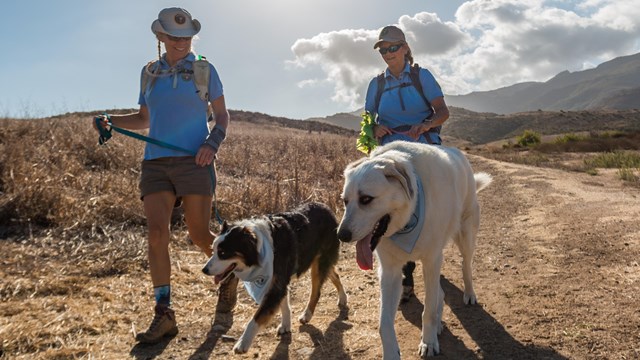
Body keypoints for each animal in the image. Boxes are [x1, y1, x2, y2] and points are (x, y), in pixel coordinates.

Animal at [202, 202, 348, 354]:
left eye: (223, 253)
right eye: (213, 250)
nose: (204, 270)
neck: (260, 247)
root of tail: (325, 207)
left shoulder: (275, 285)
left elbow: (255, 319)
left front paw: (243, 343)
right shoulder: (279, 282)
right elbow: (284, 305)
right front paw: (286, 325)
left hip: (319, 263)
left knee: (316, 291)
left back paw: (307, 314)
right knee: (335, 274)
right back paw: (343, 298)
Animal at [338, 141, 492, 358]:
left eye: (366, 199)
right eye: (345, 201)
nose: (341, 235)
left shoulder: (432, 261)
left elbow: (428, 310)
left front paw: (428, 342)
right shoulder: (390, 273)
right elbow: (384, 324)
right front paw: (391, 353)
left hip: (466, 237)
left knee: (466, 266)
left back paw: (469, 294)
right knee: (440, 293)